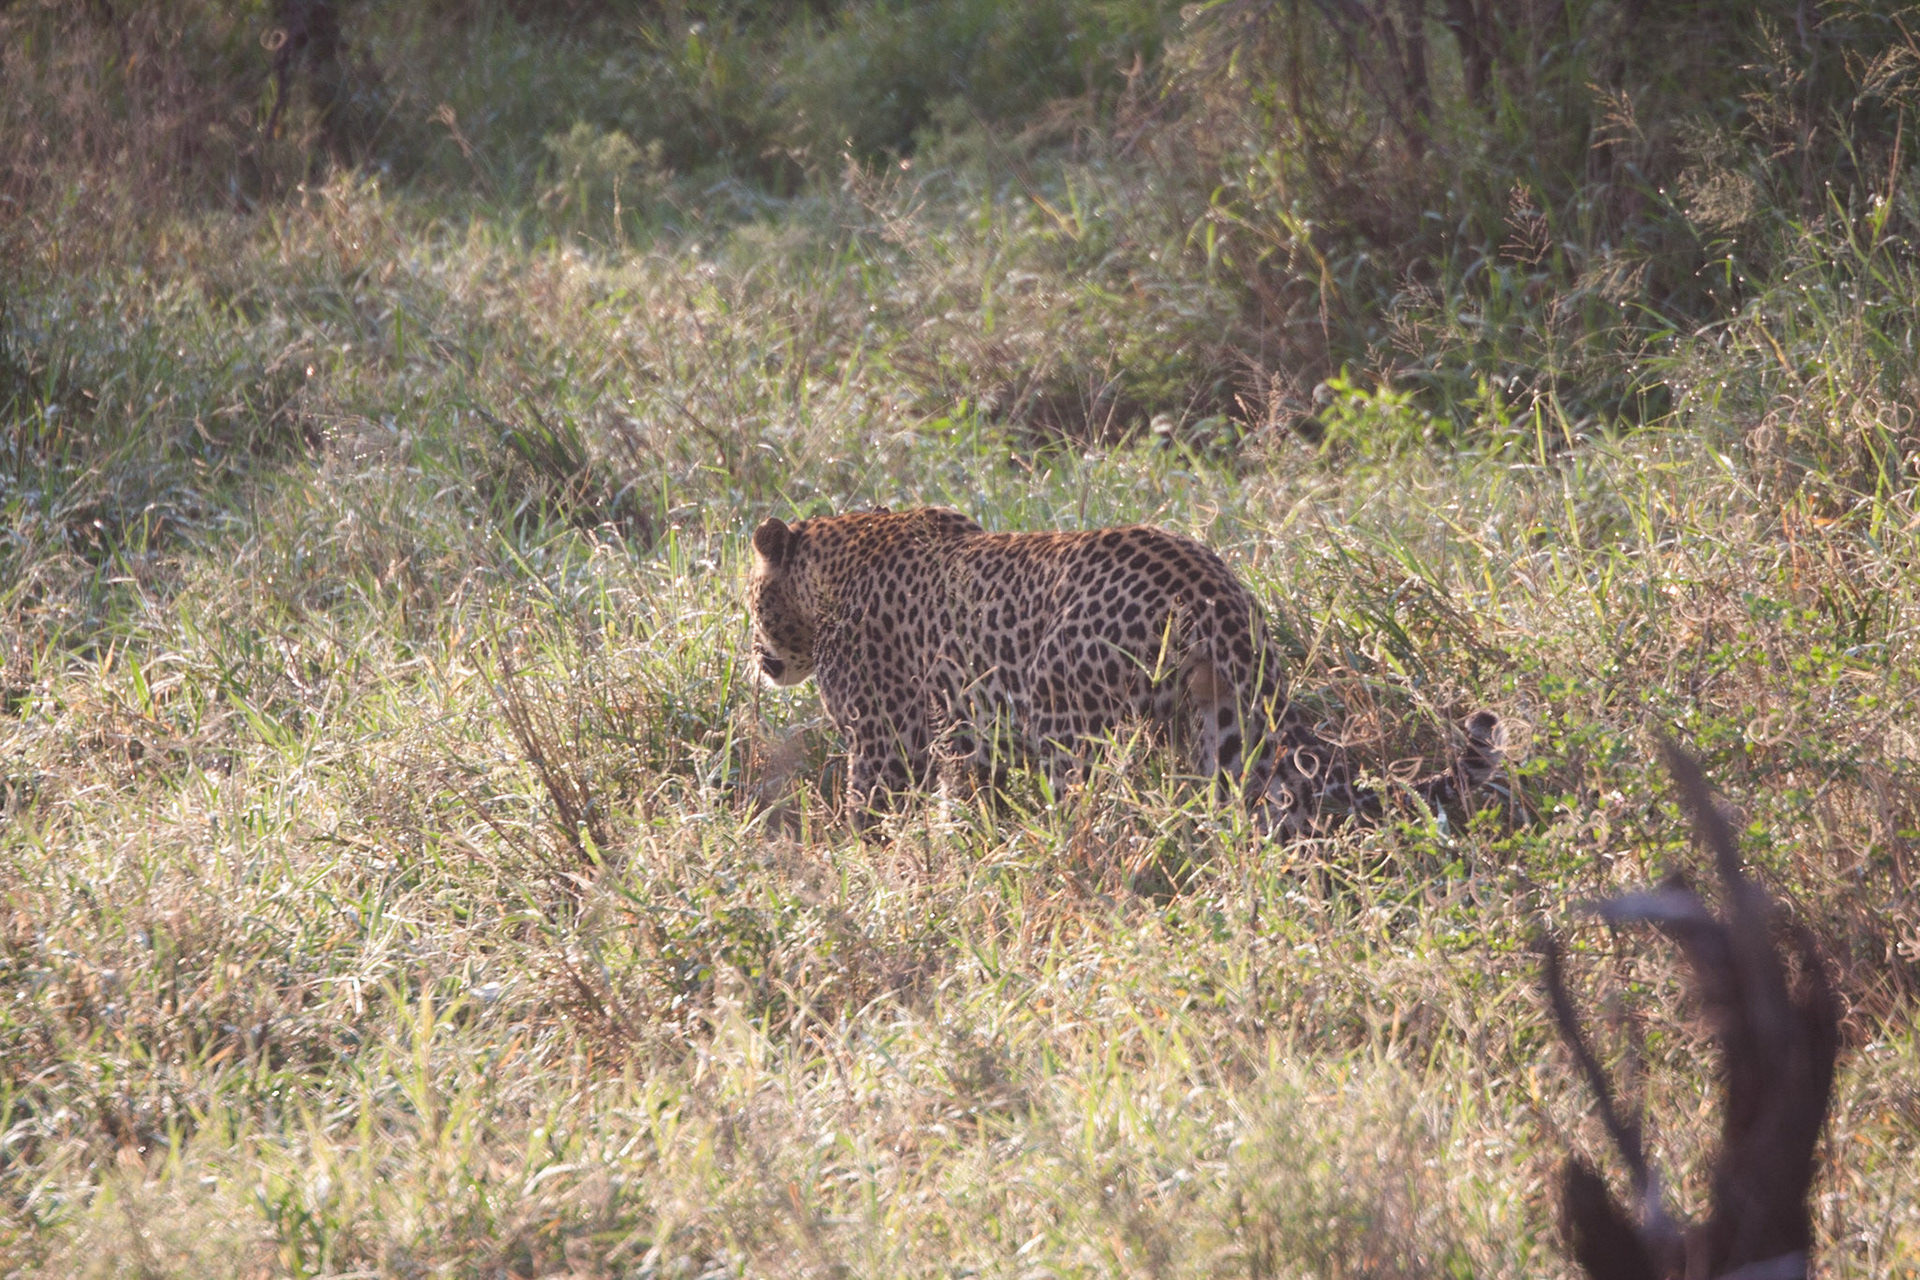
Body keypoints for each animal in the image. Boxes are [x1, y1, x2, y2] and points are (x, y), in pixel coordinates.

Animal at [746, 505, 1500, 836]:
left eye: (750, 597)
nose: (758, 658)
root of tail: (1212, 586)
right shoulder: (971, 741)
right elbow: (967, 805)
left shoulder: (886, 743)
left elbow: (870, 815)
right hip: (1221, 724)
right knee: (1262, 808)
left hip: (1065, 723)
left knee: (1089, 812)